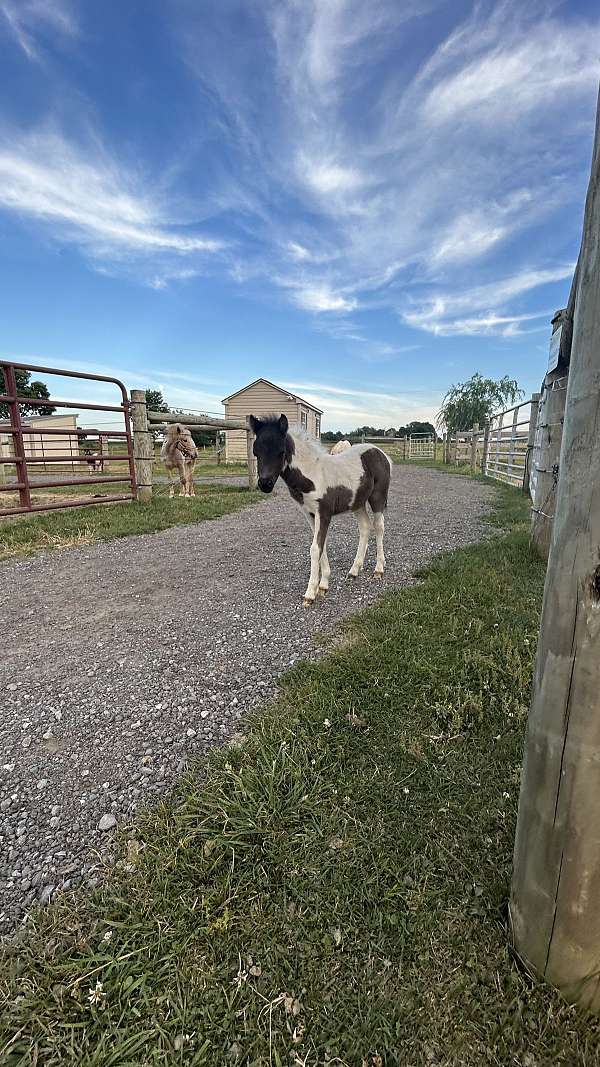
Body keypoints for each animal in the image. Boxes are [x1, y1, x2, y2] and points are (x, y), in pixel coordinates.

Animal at [249, 411, 390, 606]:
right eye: (255, 451)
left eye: (281, 451)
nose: (265, 484)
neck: (312, 474)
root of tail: (380, 452)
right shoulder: (309, 514)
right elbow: (320, 545)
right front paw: (323, 586)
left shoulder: (324, 513)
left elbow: (315, 548)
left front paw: (310, 594)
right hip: (358, 502)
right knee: (365, 528)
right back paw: (354, 570)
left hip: (377, 497)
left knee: (379, 527)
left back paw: (378, 569)